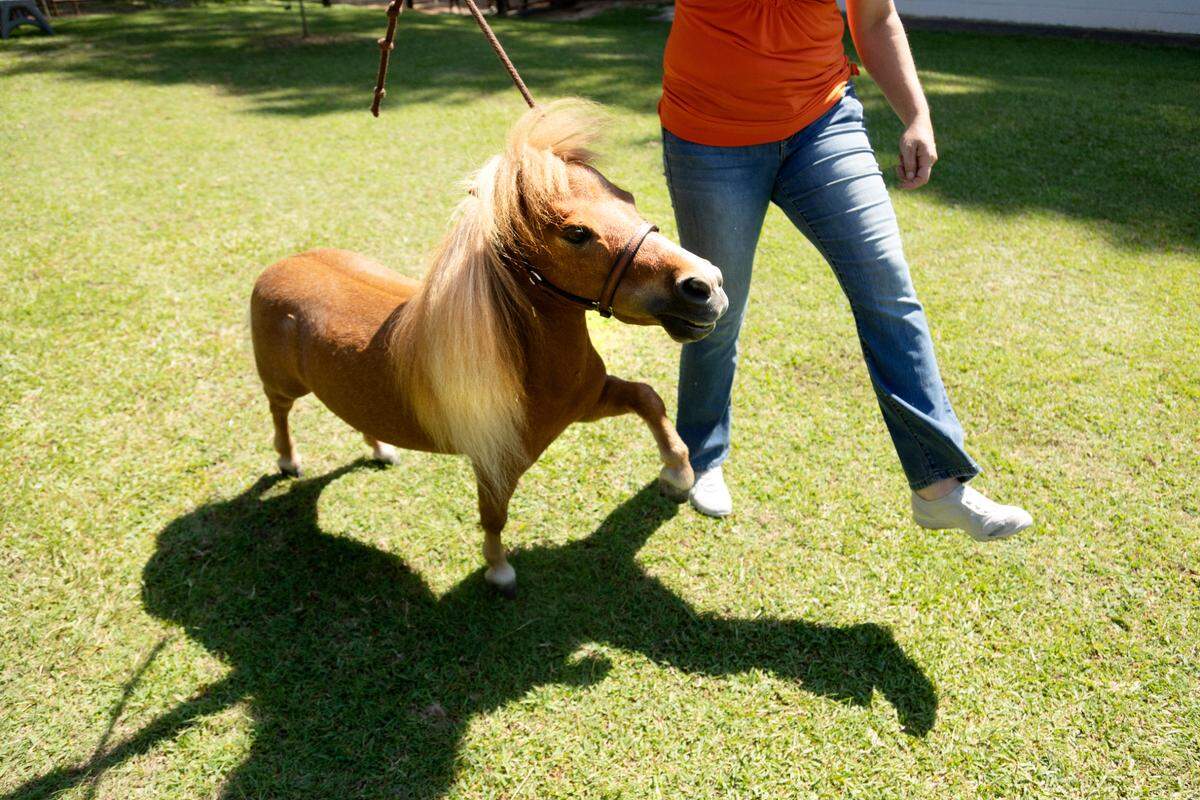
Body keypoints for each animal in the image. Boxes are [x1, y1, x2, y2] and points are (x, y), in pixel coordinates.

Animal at [250, 100, 728, 596]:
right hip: (282, 385)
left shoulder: (590, 401)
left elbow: (647, 399)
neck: (525, 362)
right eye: (576, 234)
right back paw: (288, 460)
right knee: (279, 412)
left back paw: (380, 450)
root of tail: (279, 267)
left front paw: (678, 474)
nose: (706, 284)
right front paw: (499, 571)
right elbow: (494, 516)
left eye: (628, 198)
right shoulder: (498, 462)